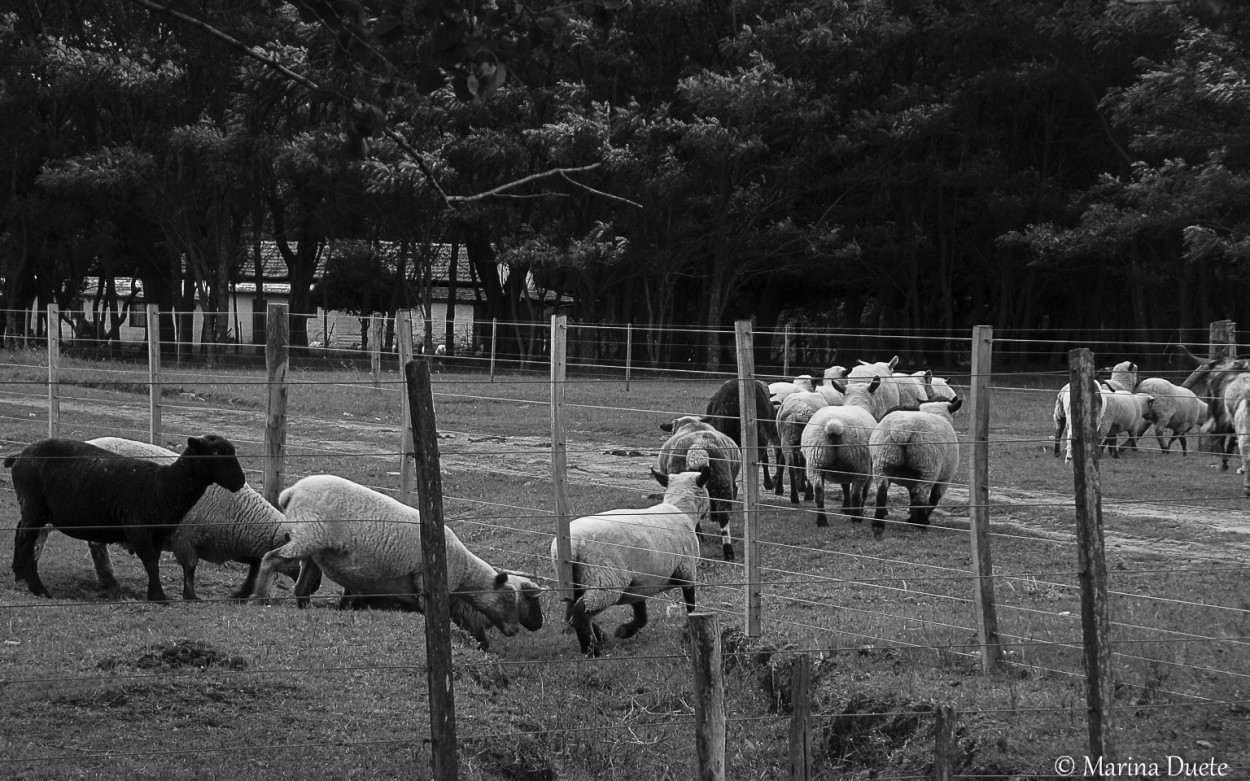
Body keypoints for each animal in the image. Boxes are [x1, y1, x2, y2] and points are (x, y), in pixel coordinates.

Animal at [251, 474, 540, 649]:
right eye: (508, 597)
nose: (516, 630)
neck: (465, 571)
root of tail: (291, 491)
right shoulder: (426, 584)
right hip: (309, 535)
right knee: (270, 559)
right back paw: (258, 598)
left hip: (314, 548)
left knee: (300, 587)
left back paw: (304, 610)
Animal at [552, 464, 710, 654]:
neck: (681, 511)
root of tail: (572, 544)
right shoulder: (686, 570)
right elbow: (691, 605)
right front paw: (688, 632)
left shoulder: (640, 581)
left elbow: (642, 615)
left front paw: (624, 631)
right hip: (605, 579)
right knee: (581, 612)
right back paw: (592, 650)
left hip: (575, 581)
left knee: (570, 614)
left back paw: (600, 637)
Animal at [870, 394, 965, 534]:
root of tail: (903, 430)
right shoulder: (945, 478)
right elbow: (933, 499)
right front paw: (918, 518)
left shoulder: (911, 480)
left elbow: (912, 497)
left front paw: (912, 516)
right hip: (928, 467)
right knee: (922, 495)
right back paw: (922, 523)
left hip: (883, 460)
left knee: (882, 490)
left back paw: (878, 522)